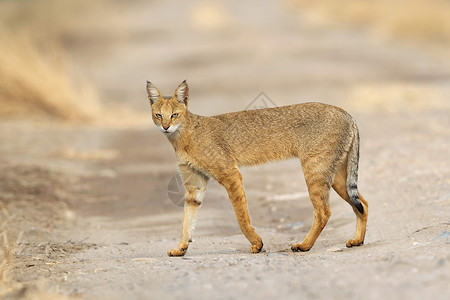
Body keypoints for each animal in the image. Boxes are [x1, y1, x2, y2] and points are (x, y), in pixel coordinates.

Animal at [146, 81, 368, 256]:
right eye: (158, 115)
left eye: (174, 115)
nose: (165, 127)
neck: (182, 137)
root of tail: (346, 113)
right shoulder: (194, 186)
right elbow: (187, 222)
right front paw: (180, 248)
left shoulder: (230, 174)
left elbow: (241, 216)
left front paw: (256, 243)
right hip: (337, 178)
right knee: (362, 204)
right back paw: (357, 240)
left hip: (315, 172)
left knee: (324, 211)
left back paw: (304, 245)